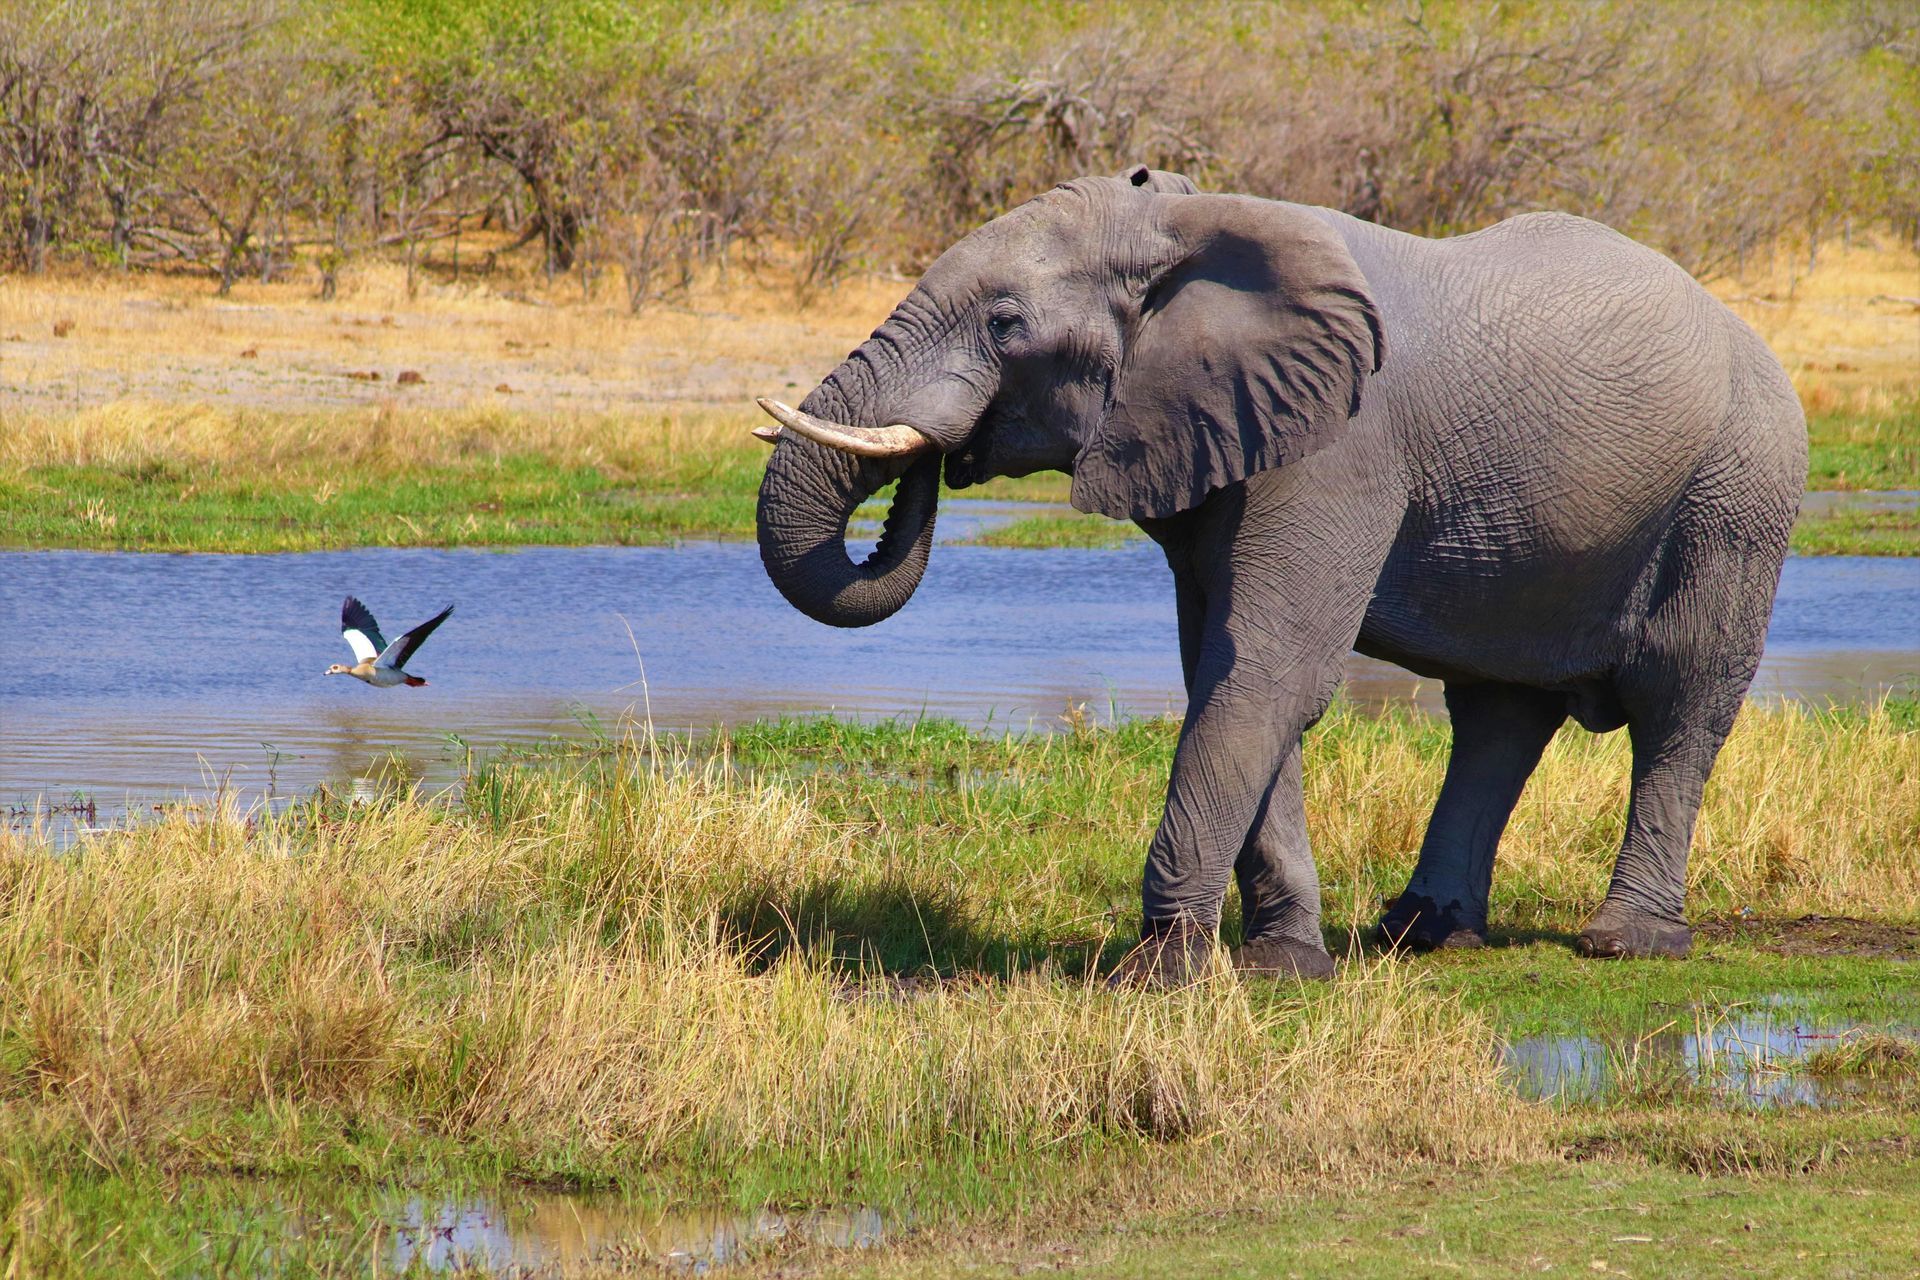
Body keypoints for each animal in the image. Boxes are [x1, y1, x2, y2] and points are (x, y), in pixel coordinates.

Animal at [744, 165, 1797, 990]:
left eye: (1006, 324)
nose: (937, 459)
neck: (1188, 222)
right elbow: (1229, 666)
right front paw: (1280, 965)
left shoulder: (1341, 448)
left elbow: (1268, 670)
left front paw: (1160, 978)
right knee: (1499, 715)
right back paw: (1420, 935)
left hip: (1737, 500)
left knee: (1680, 703)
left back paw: (1629, 945)